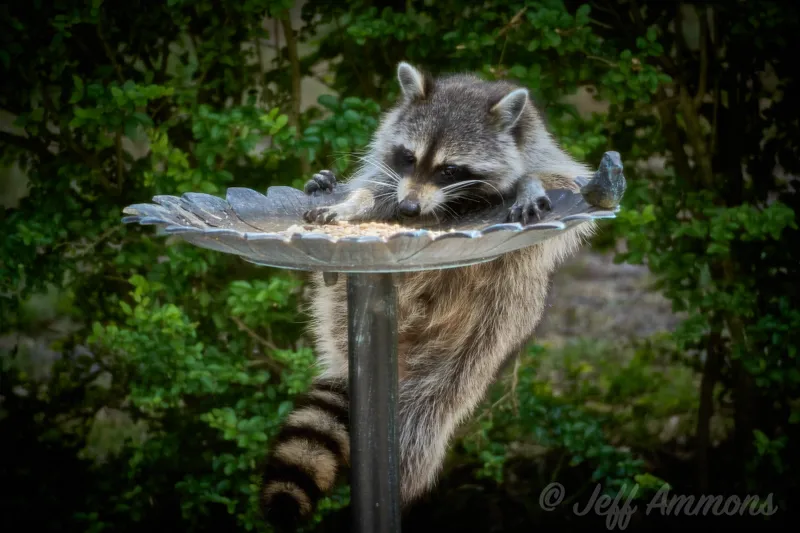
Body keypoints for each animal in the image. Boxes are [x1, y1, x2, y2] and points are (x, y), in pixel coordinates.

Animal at [259, 62, 596, 528]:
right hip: (340, 312)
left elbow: (561, 184)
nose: (409, 211)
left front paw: (528, 184)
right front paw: (350, 201)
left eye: (450, 169)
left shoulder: (542, 151)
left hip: (484, 338)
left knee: (424, 419)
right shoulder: (388, 162)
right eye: (410, 157)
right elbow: (373, 185)